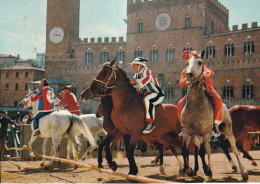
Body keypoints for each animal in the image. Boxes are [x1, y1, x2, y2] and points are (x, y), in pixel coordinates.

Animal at [181, 50, 248, 181]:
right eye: (187, 63)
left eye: (200, 62)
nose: (189, 74)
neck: (195, 106)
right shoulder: (187, 131)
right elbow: (185, 150)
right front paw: (190, 170)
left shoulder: (206, 132)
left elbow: (202, 151)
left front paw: (206, 170)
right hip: (199, 135)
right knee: (206, 149)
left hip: (227, 128)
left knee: (233, 148)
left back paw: (242, 171)